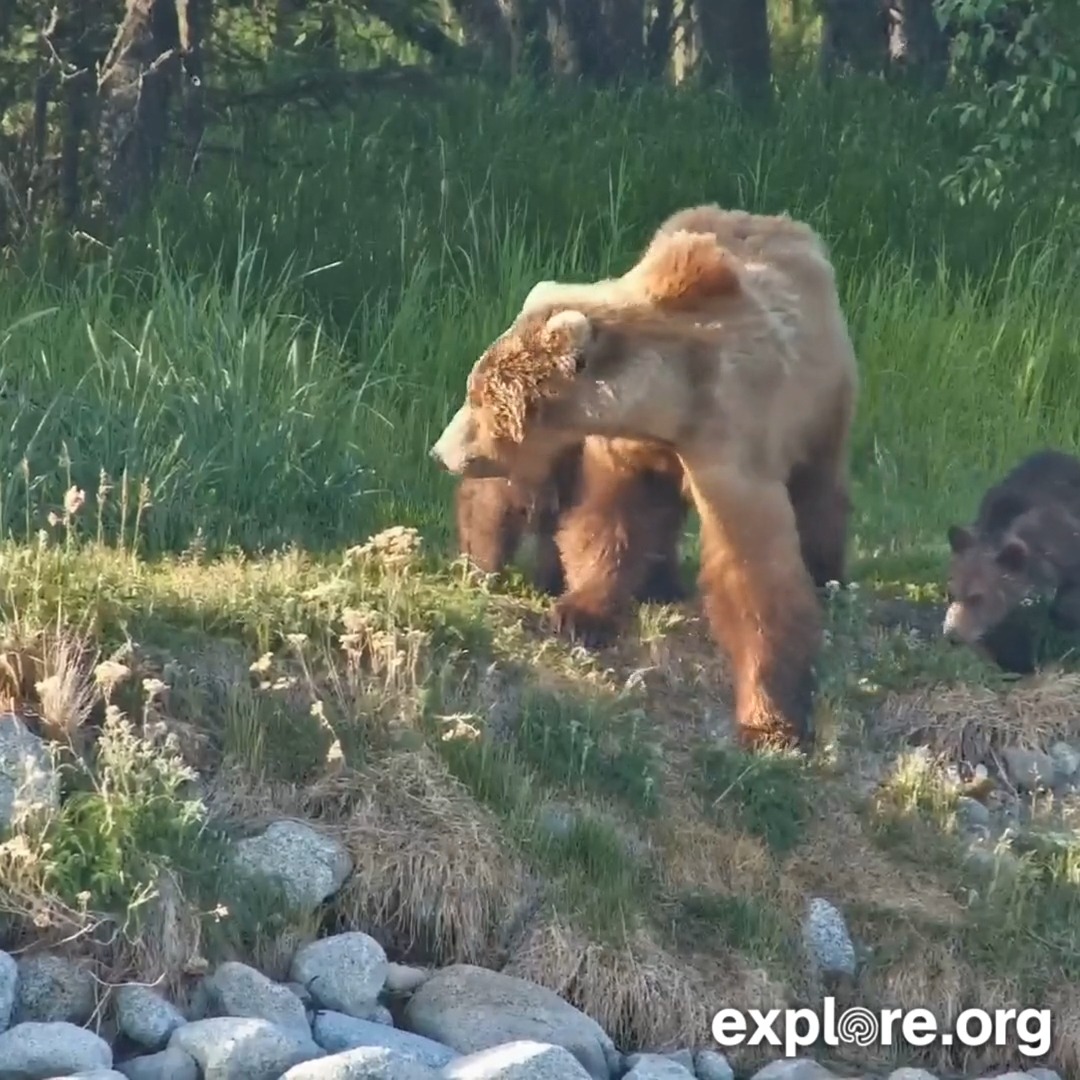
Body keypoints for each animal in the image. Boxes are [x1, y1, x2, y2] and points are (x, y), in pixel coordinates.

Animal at [429, 204, 859, 752]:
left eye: (482, 396)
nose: (442, 451)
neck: (671, 404)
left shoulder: (732, 441)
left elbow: (753, 570)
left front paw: (770, 720)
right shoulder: (628, 447)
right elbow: (610, 517)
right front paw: (581, 613)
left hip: (820, 408)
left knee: (817, 492)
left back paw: (825, 573)